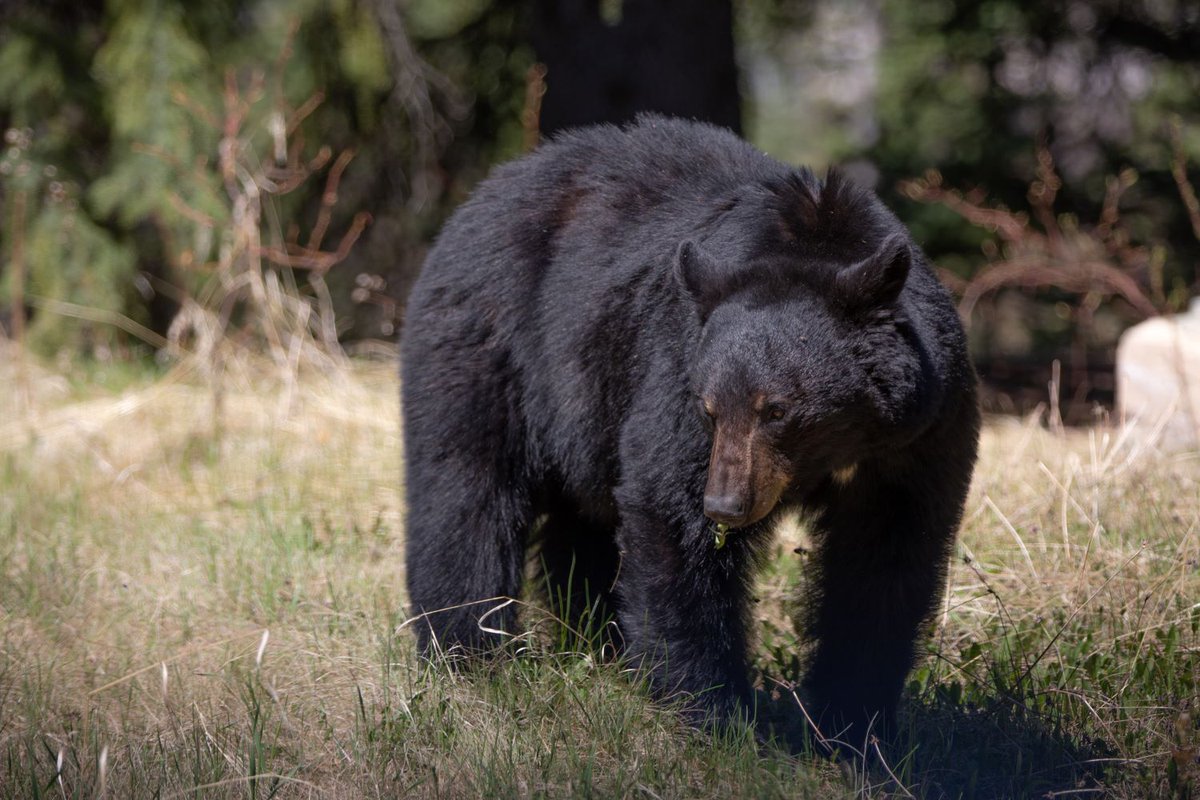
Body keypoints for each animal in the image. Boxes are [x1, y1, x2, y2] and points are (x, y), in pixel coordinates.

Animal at [398, 113, 979, 743]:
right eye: (709, 407)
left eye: (777, 409)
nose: (725, 504)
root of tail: (481, 194)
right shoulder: (676, 367)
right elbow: (671, 513)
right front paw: (713, 713)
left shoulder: (919, 435)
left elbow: (884, 560)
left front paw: (853, 725)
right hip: (495, 349)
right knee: (467, 492)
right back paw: (470, 656)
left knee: (585, 529)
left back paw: (597, 648)